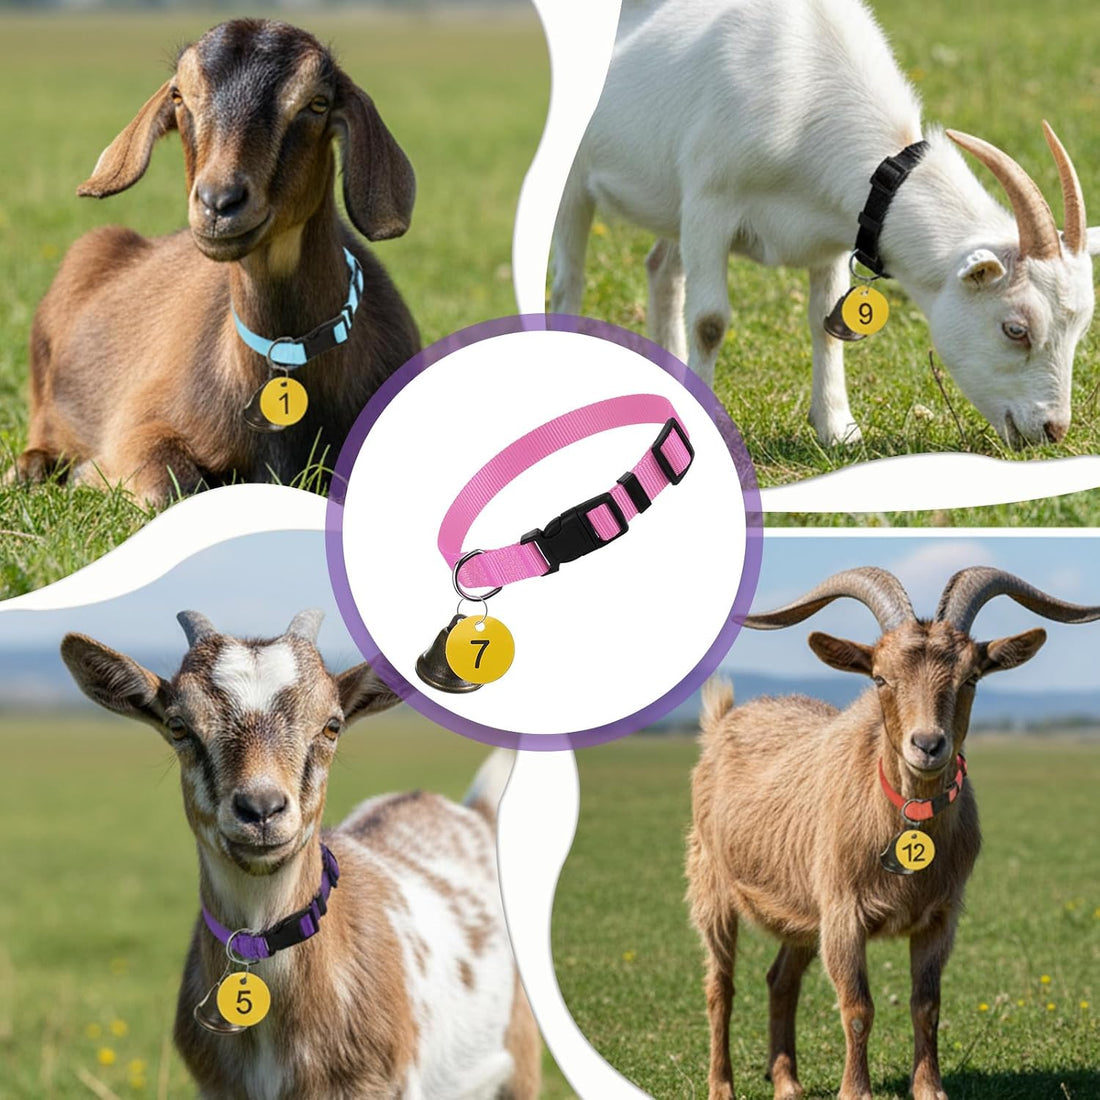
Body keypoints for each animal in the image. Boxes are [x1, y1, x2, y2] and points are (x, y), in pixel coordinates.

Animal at [17, 20, 419, 506]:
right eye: (178, 96)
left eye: (317, 103)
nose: (219, 202)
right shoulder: (137, 425)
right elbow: (171, 486)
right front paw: (89, 475)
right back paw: (31, 468)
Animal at [551, 0, 1100, 448]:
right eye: (1015, 329)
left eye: (1079, 329)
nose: (1053, 429)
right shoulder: (709, 205)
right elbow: (709, 322)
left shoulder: (835, 231)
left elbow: (827, 324)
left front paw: (837, 428)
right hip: (577, 179)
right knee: (569, 278)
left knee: (662, 269)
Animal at [686, 566, 1100, 1100]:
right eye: (880, 678)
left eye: (971, 677)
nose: (927, 744)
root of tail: (722, 722)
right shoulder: (843, 912)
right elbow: (857, 1006)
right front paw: (855, 1091)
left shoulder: (939, 917)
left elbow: (927, 1004)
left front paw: (929, 1089)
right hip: (711, 882)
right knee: (719, 985)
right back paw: (722, 1086)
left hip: (803, 908)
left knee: (781, 979)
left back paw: (787, 1082)